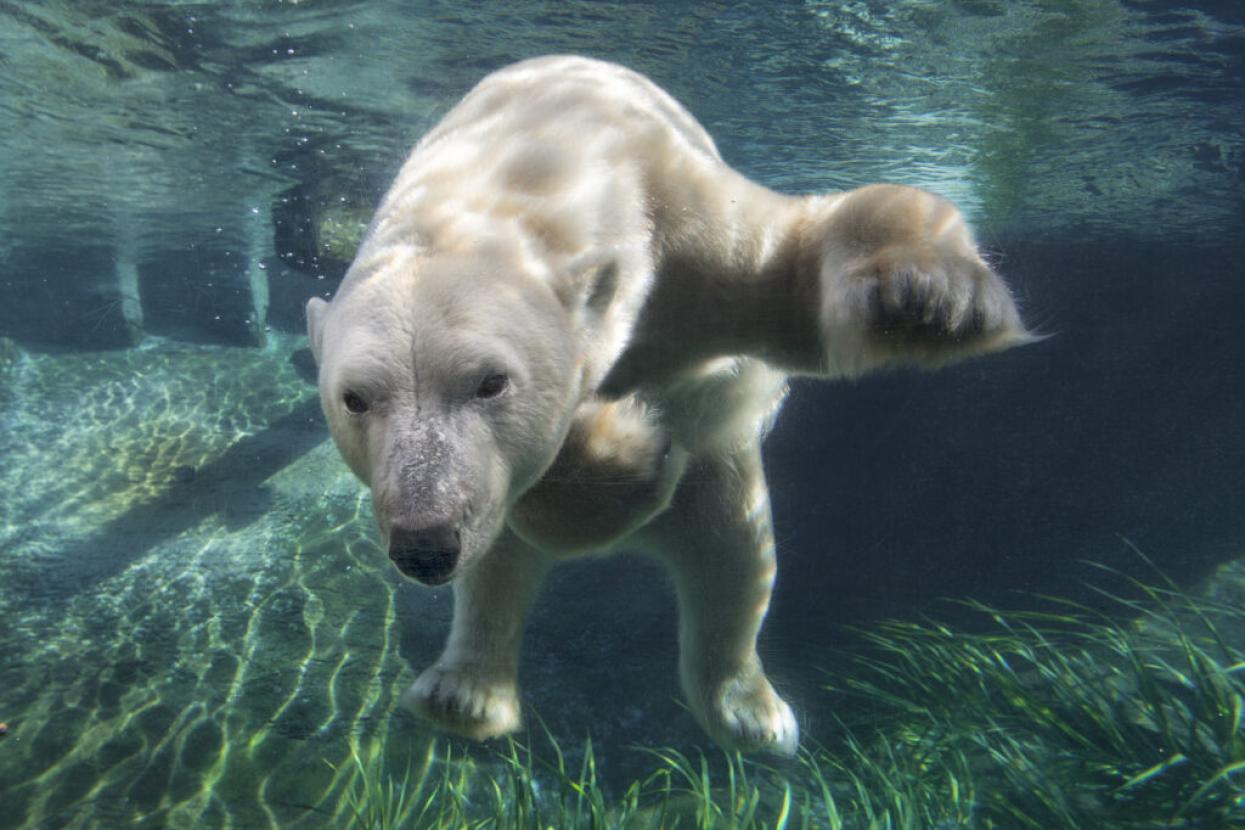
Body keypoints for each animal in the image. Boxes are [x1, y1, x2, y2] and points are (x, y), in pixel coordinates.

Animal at [306, 51, 1025, 751]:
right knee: (501, 579)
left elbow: (791, 274)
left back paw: (750, 716)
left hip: (721, 481)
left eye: (490, 381)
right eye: (355, 399)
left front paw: (931, 298)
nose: (425, 544)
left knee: (733, 567)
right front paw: (628, 448)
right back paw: (464, 696)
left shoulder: (685, 232)